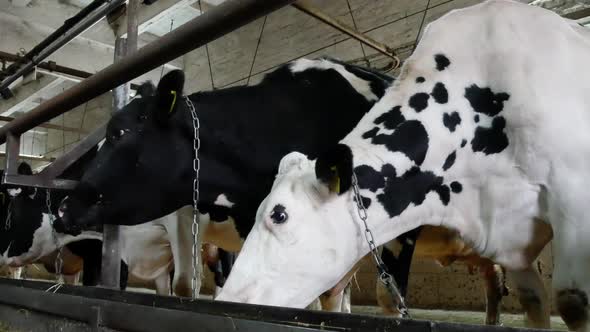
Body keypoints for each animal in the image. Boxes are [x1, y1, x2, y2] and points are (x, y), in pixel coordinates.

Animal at [217, 1, 588, 330]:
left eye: (279, 214)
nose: (227, 300)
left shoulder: (573, 196)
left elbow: (572, 302)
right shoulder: (512, 233)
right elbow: (534, 301)